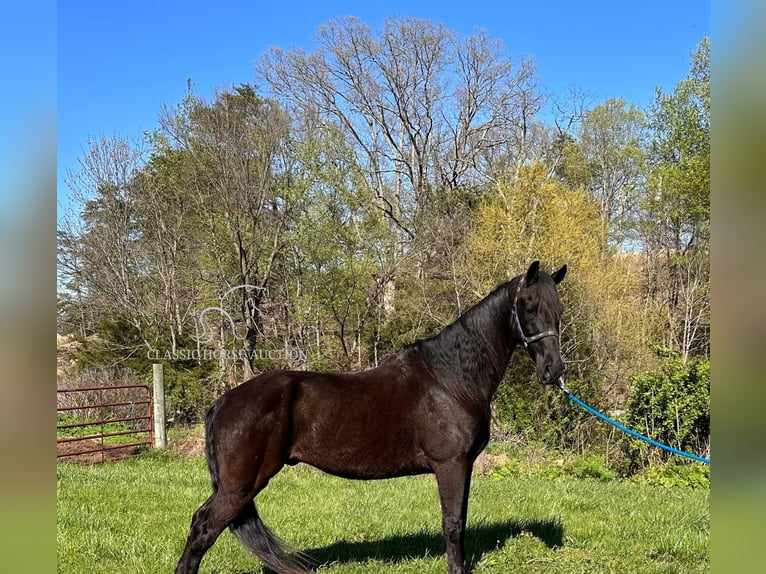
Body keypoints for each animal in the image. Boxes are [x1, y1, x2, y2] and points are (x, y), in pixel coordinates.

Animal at [177, 262, 568, 574]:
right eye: (529, 306)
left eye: (559, 309)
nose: (553, 370)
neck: (451, 378)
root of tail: (223, 401)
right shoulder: (451, 465)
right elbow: (453, 523)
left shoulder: (464, 466)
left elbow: (461, 519)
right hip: (240, 486)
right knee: (203, 528)